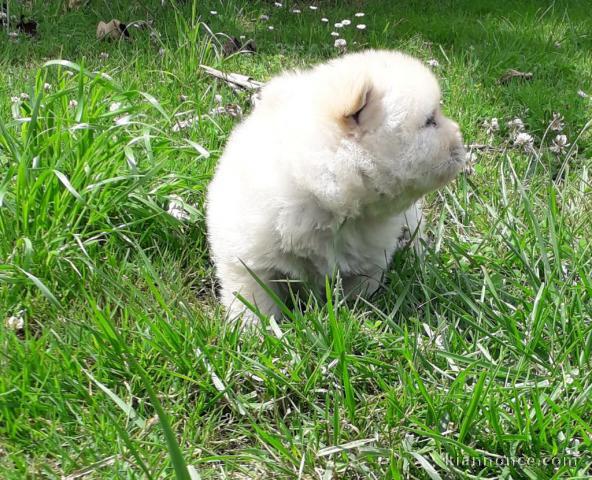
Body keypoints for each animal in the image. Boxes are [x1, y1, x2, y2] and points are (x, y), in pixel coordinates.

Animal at [208, 49, 468, 322]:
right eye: (430, 121)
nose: (460, 135)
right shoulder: (249, 258)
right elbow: (254, 297)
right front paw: (255, 328)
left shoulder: (369, 261)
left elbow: (360, 291)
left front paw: (356, 314)